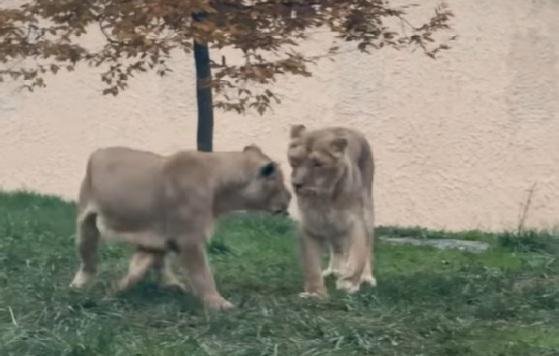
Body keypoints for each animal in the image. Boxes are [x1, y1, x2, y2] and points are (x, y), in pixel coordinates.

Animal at [288, 124, 376, 296]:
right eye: (294, 161)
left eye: (317, 164)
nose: (297, 184)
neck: (324, 198)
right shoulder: (309, 226)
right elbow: (311, 264)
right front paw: (315, 292)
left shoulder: (356, 222)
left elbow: (358, 254)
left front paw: (349, 283)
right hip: (332, 226)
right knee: (337, 247)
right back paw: (335, 270)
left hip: (367, 211)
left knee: (367, 247)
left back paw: (365, 277)